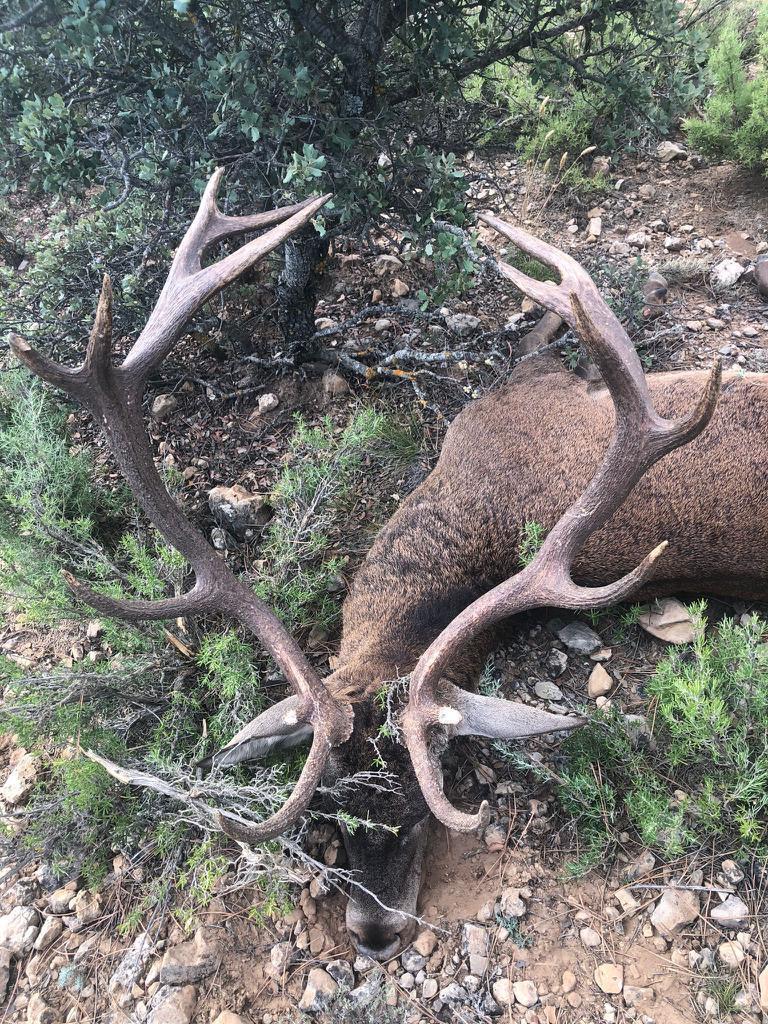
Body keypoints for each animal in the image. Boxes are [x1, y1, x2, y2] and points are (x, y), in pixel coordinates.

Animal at [12, 171, 768, 963]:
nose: (375, 933)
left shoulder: (523, 388)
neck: (463, 508)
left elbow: (540, 332)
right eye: (332, 817)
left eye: (419, 812)